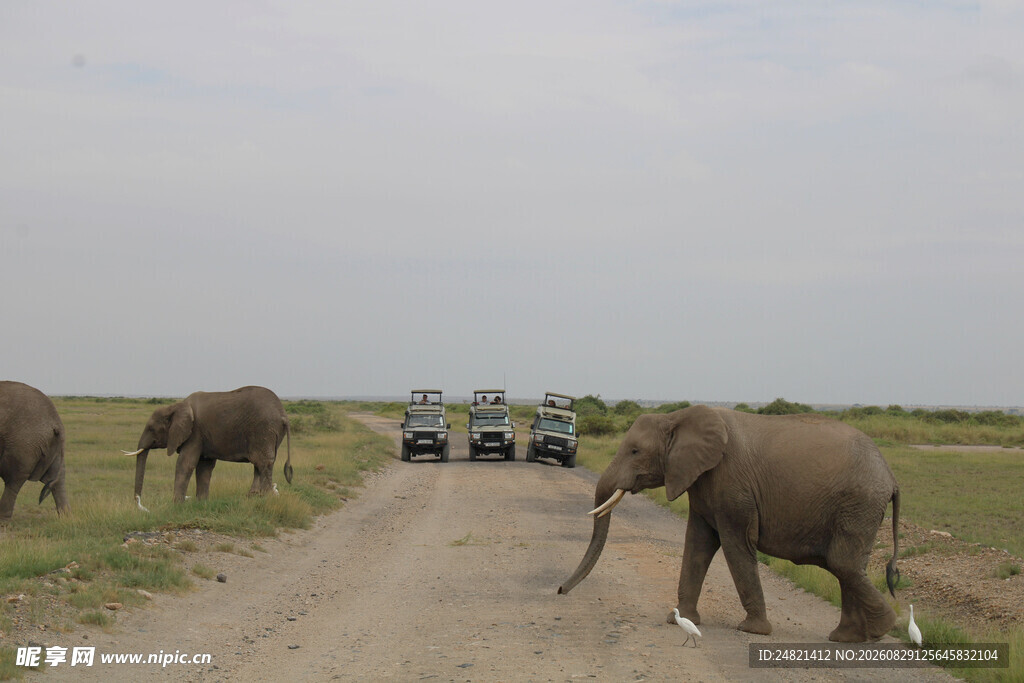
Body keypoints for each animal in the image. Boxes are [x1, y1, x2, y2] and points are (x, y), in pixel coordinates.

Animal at [0, 381, 69, 519]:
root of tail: (57, 422)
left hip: (24, 443)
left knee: (13, 478)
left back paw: (3, 520)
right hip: (50, 447)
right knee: (57, 480)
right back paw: (66, 517)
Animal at [122, 386, 292, 509]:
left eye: (151, 429)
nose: (138, 502)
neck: (176, 406)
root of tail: (283, 415)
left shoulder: (195, 433)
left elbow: (185, 463)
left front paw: (176, 505)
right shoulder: (203, 436)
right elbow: (204, 466)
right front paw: (202, 503)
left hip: (263, 430)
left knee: (263, 463)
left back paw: (265, 498)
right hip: (270, 433)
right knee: (260, 464)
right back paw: (253, 497)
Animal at [559, 405, 901, 643]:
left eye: (634, 451)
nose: (560, 590)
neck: (676, 417)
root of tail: (891, 476)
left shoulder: (733, 486)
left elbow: (735, 545)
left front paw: (753, 631)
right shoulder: (700, 481)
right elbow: (697, 544)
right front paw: (677, 620)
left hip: (858, 503)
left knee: (842, 562)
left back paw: (880, 629)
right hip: (859, 508)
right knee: (847, 566)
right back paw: (847, 638)